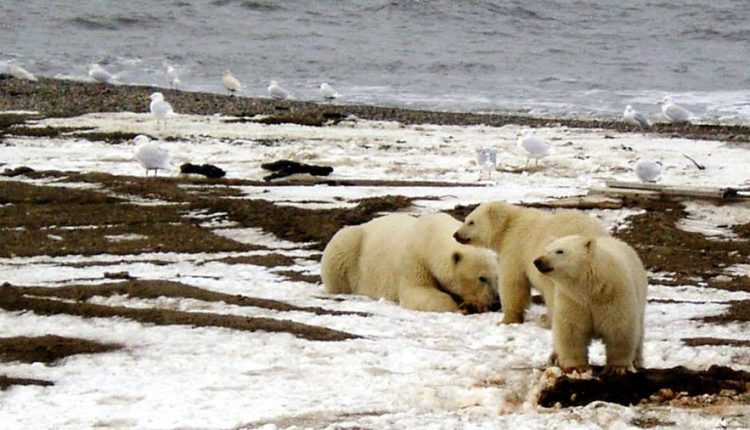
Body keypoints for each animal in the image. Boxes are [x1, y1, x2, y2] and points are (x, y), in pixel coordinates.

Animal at [320, 212, 500, 313]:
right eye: (481, 278)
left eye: (496, 278)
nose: (495, 303)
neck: (430, 237)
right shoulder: (414, 261)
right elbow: (417, 292)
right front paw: (462, 307)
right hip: (350, 247)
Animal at [453, 201, 609, 324]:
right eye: (466, 219)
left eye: (471, 222)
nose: (456, 234)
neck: (509, 225)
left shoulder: (516, 248)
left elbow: (513, 283)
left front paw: (507, 320)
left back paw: (547, 320)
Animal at [533, 235, 647, 374]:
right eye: (546, 249)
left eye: (560, 251)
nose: (538, 261)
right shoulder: (572, 300)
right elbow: (572, 329)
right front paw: (576, 367)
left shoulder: (614, 295)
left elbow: (619, 328)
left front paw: (617, 367)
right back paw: (554, 358)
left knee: (639, 332)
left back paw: (637, 361)